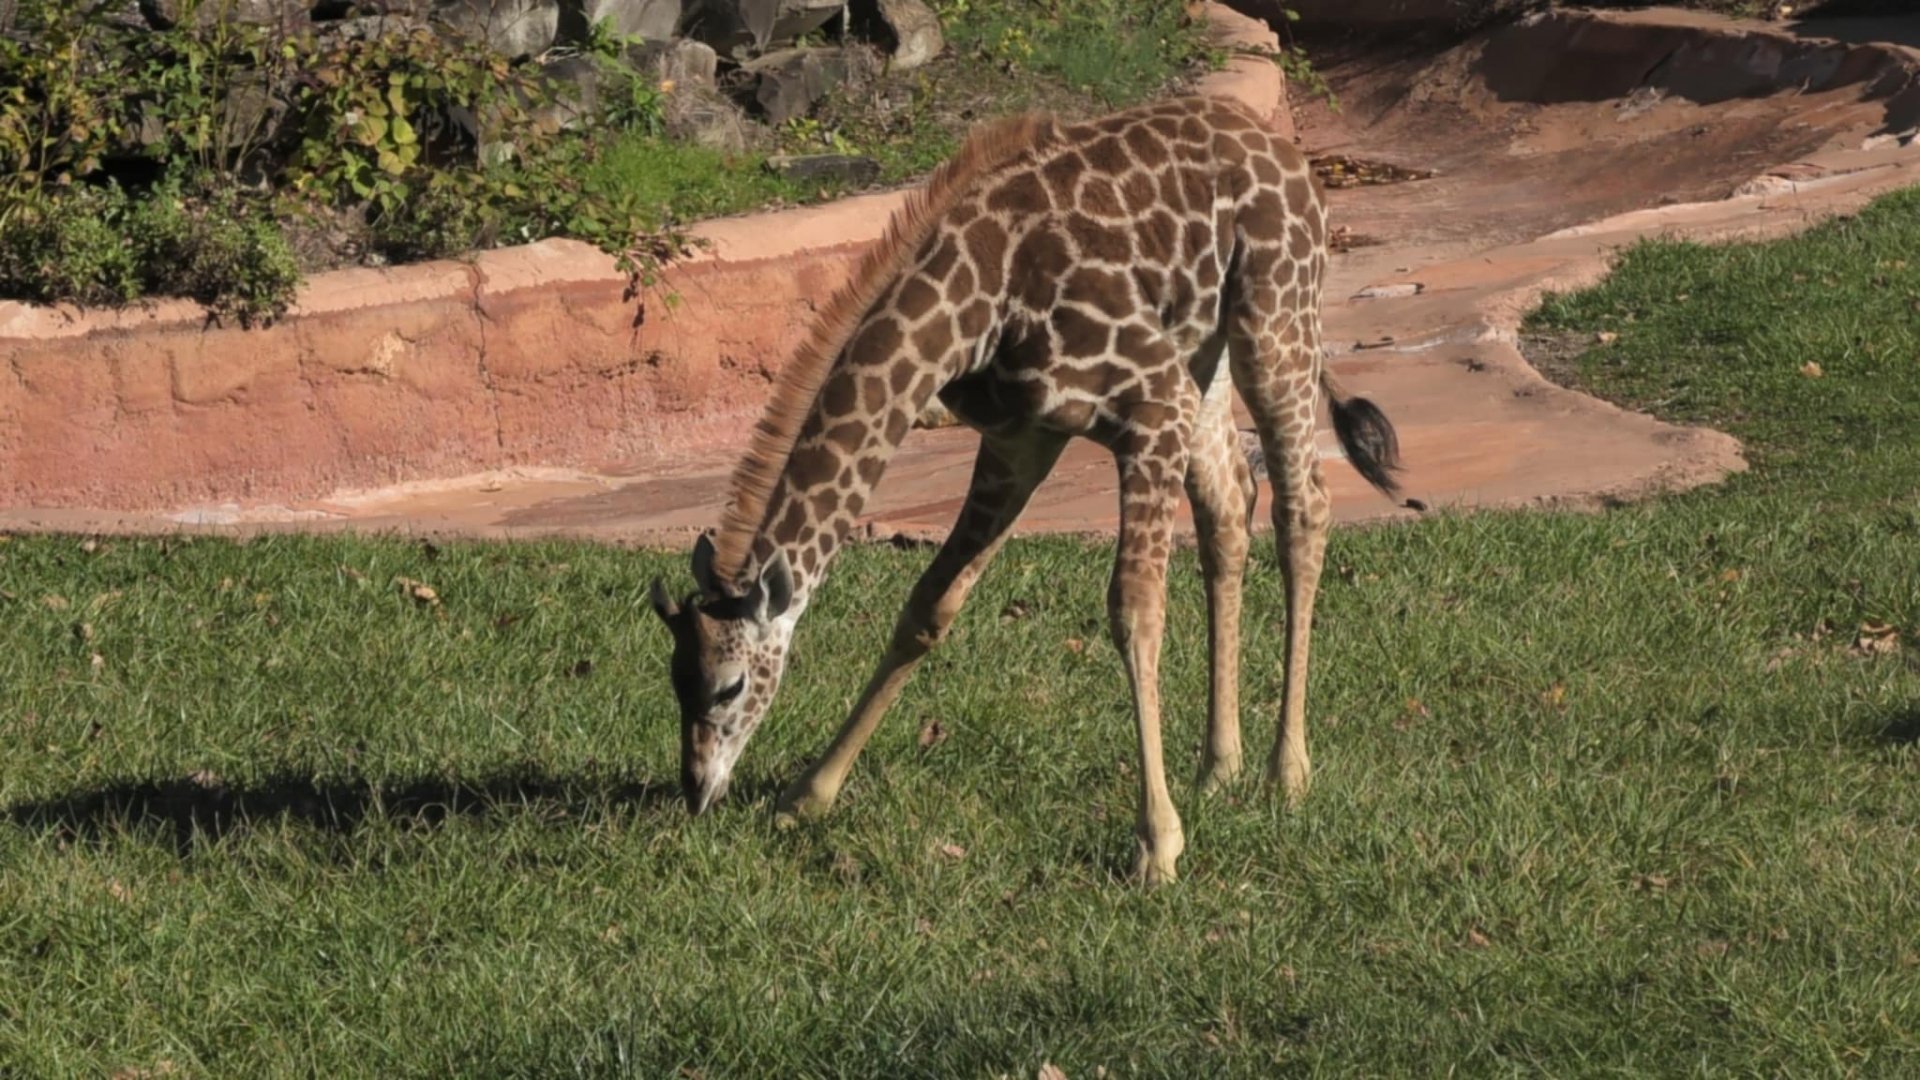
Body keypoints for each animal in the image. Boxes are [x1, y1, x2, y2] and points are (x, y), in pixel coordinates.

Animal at [650, 94, 1402, 884]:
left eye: (730, 684)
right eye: (672, 678)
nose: (696, 789)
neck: (977, 306)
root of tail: (1281, 147)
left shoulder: (1149, 403)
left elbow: (1135, 611)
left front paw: (1157, 845)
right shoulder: (1022, 438)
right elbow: (930, 607)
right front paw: (805, 797)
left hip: (1274, 318)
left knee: (1303, 506)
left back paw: (1287, 774)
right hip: (1204, 351)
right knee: (1229, 506)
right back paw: (1216, 770)